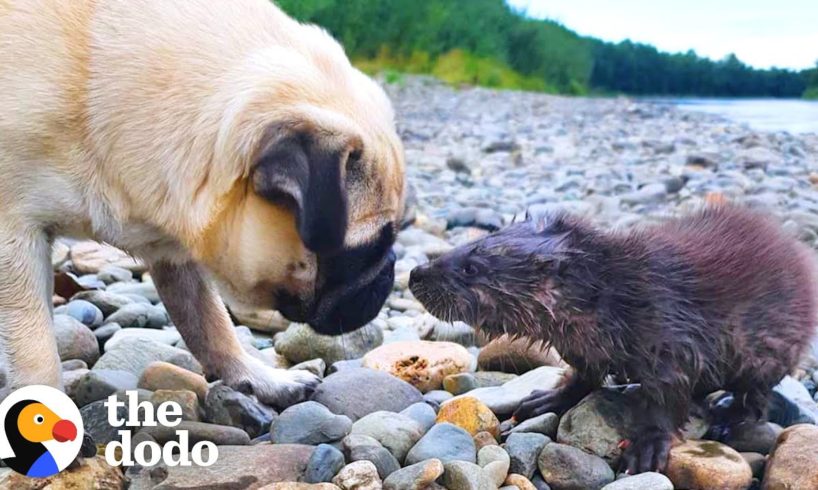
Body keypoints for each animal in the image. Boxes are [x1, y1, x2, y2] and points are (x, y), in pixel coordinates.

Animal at [0, 0, 404, 406]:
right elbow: (36, 346)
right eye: (366, 251)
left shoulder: (173, 251)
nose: (389, 269)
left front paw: (259, 377)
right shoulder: (15, 238)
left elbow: (210, 323)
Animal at [408, 206, 816, 474]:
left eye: (471, 267)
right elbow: (584, 375)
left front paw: (647, 448)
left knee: (757, 398)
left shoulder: (671, 331)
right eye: (464, 248)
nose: (415, 274)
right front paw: (545, 400)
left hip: (768, 351)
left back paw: (726, 416)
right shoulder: (581, 345)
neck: (617, 294)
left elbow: (667, 395)